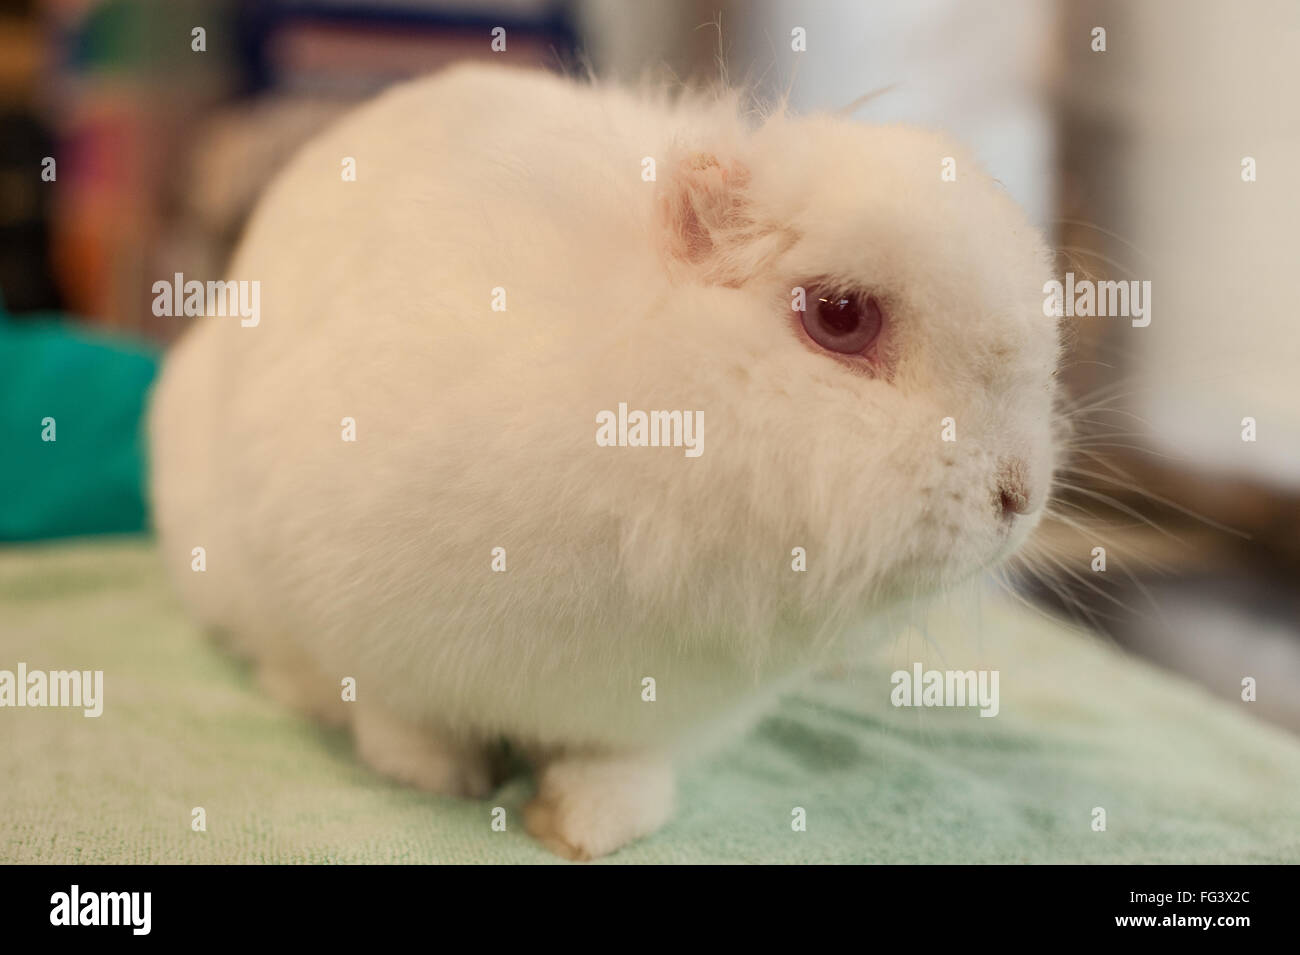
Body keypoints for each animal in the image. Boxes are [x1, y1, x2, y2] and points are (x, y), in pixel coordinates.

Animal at [148, 62, 1061, 860]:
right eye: (839, 315)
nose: (1019, 498)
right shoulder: (367, 643)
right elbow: (401, 724)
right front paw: (443, 779)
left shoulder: (639, 719)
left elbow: (615, 772)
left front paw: (586, 828)